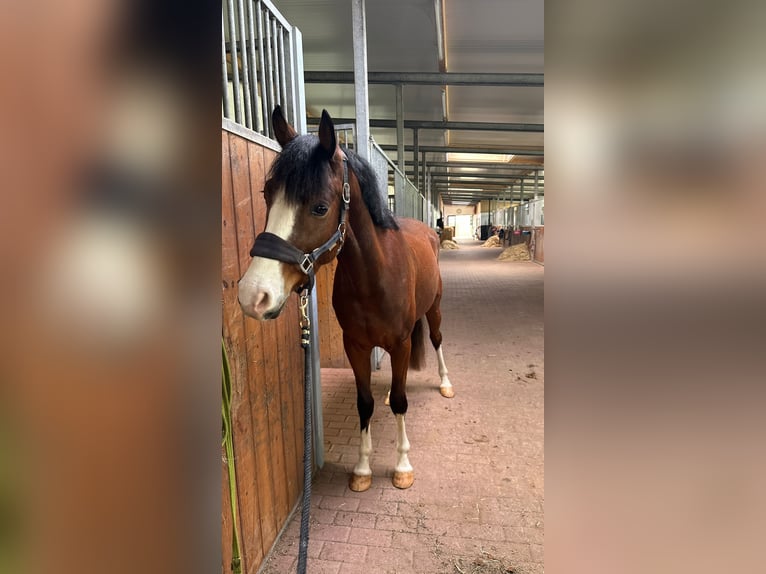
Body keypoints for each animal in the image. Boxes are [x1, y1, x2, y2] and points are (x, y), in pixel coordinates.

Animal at [238, 106, 454, 491]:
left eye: (320, 208)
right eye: (266, 193)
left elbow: (402, 403)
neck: (374, 277)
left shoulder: (399, 343)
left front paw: (402, 466)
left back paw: (444, 383)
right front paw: (363, 469)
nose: (253, 295)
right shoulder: (356, 346)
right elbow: (365, 402)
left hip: (435, 309)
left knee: (437, 339)